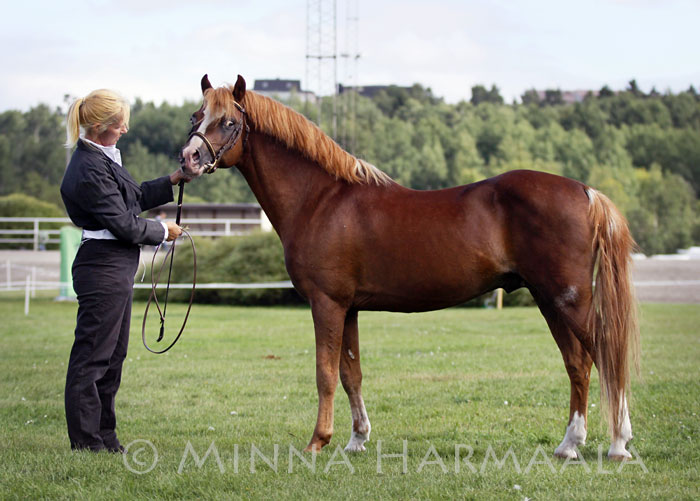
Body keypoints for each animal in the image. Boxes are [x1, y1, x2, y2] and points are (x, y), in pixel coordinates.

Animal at [180, 72, 640, 458]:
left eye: (228, 122)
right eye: (196, 116)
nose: (188, 159)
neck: (321, 199)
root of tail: (585, 191)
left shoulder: (326, 303)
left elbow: (325, 372)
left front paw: (318, 441)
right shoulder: (349, 308)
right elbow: (351, 373)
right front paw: (357, 439)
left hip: (569, 299)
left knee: (603, 356)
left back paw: (618, 443)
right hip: (550, 301)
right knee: (578, 364)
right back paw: (569, 445)